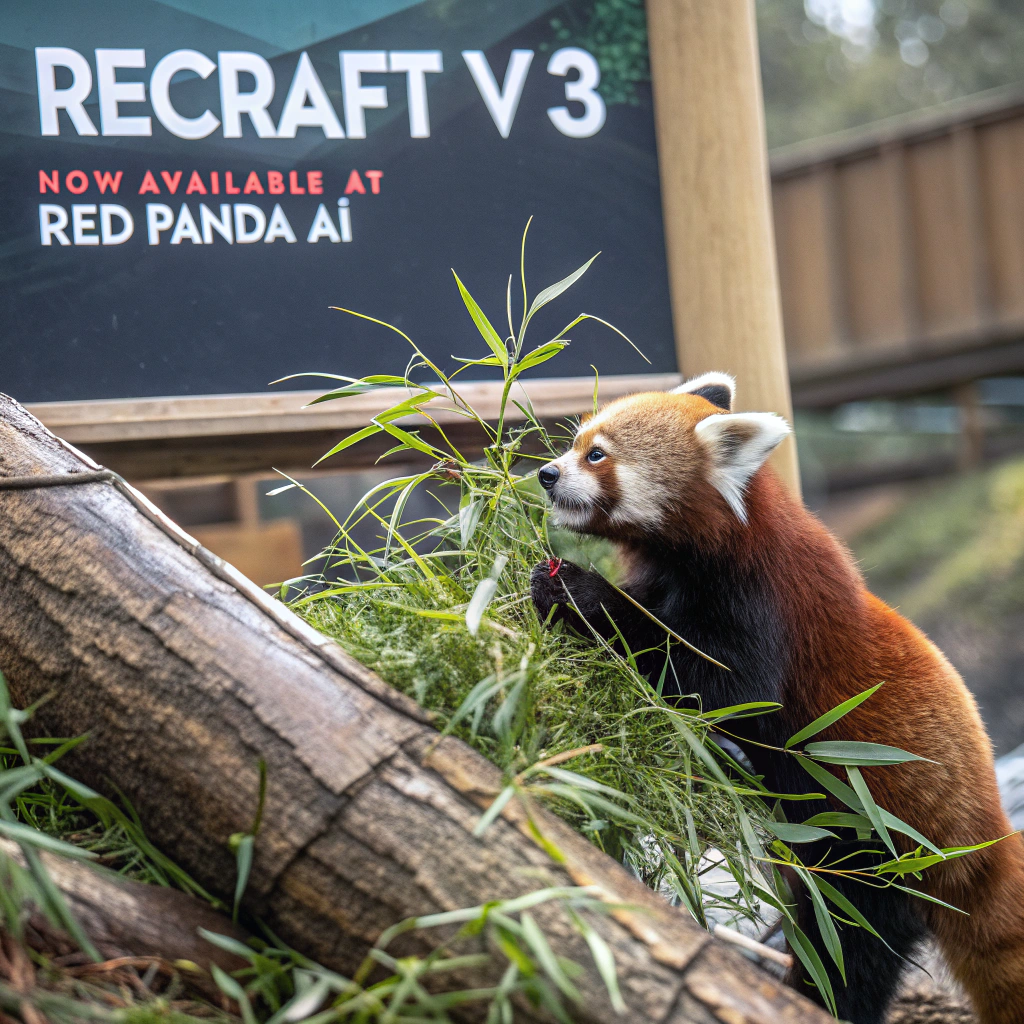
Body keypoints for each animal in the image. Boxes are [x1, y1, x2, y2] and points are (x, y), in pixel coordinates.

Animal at [529, 372, 1024, 1024]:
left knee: (851, 941)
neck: (713, 540)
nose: (546, 473)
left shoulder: (761, 601)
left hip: (882, 845)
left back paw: (810, 995)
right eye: (575, 443)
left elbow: (722, 684)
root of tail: (987, 837)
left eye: (596, 455)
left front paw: (579, 593)